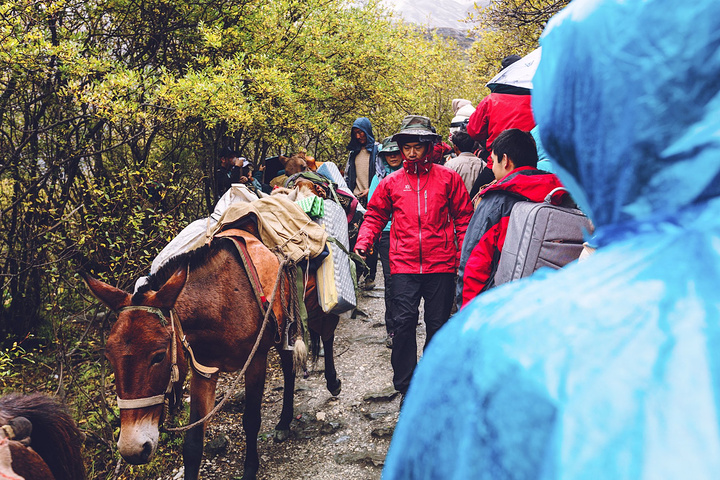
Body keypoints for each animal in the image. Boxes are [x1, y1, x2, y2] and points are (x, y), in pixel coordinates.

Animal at [84, 231, 344, 478]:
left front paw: (250, 469)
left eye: (158, 356)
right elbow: (192, 443)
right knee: (290, 368)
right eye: (110, 358)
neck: (221, 300)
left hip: (313, 310)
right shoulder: (204, 370)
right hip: (284, 329)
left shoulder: (255, 361)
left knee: (326, 336)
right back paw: (284, 421)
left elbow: (251, 420)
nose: (133, 449)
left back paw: (332, 383)